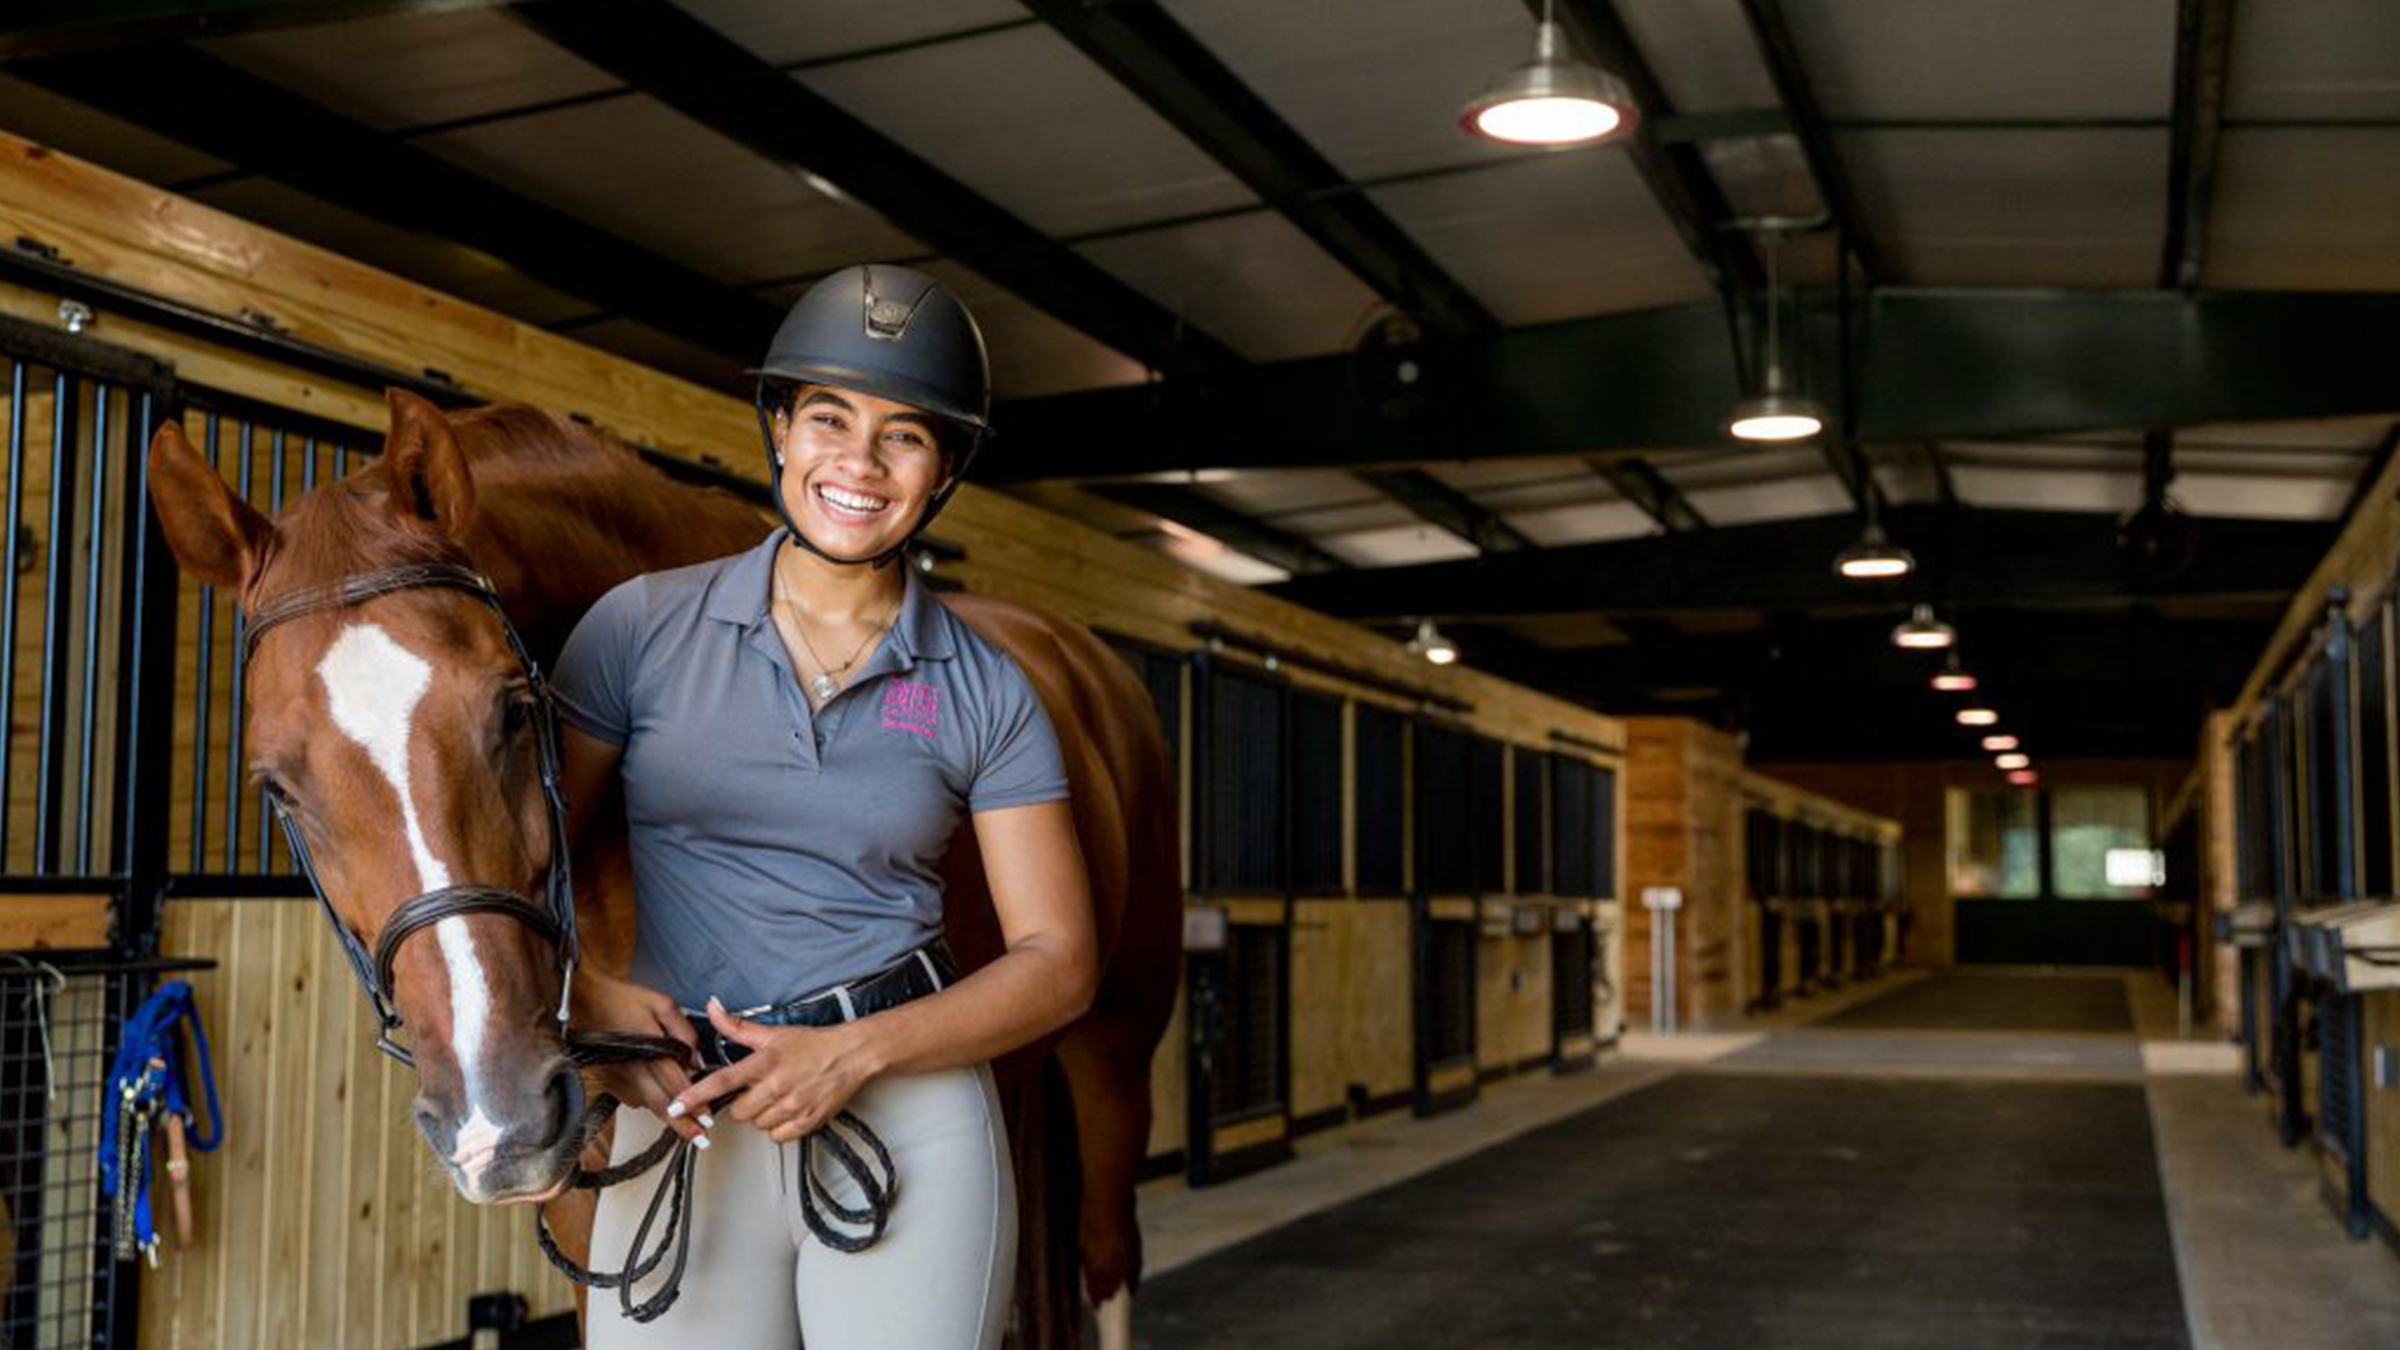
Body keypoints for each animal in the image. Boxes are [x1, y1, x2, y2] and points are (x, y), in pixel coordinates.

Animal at [145, 389, 1176, 1345]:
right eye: (276, 787)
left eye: (517, 708)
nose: (496, 1124)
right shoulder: (583, 1195)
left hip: (1115, 1049)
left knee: (1109, 1255)